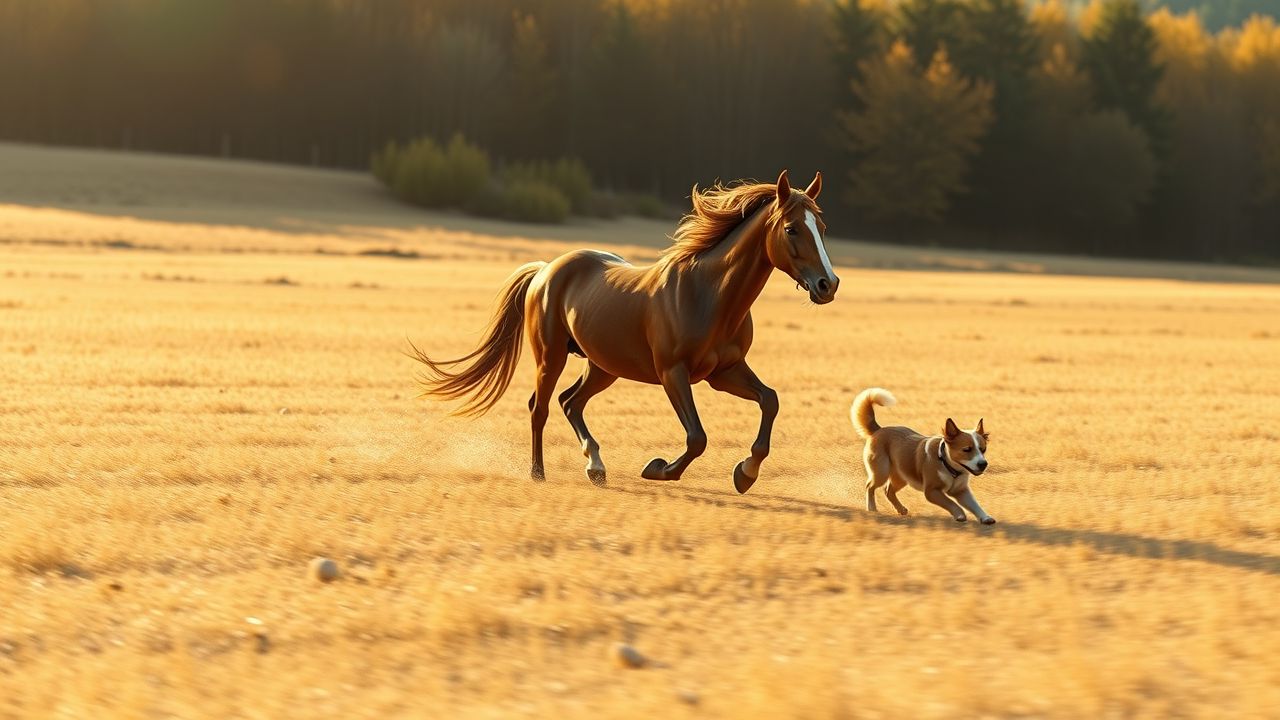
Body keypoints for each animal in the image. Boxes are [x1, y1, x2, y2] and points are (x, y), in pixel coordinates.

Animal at [409, 169, 839, 491]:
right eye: (791, 229)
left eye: (821, 226)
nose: (827, 285)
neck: (708, 295)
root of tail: (546, 269)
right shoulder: (672, 373)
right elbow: (697, 437)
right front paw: (659, 469)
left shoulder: (724, 372)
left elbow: (770, 401)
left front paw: (745, 473)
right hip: (551, 356)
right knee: (541, 407)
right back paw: (539, 473)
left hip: (603, 366)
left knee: (570, 402)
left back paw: (596, 467)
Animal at [849, 386, 998, 520]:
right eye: (966, 449)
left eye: (983, 449)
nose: (983, 464)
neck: (946, 463)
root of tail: (878, 430)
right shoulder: (931, 491)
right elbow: (951, 503)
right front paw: (960, 515)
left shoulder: (961, 491)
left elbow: (974, 505)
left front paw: (986, 518)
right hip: (882, 471)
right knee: (870, 486)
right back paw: (872, 508)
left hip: (902, 476)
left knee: (888, 491)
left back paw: (901, 509)